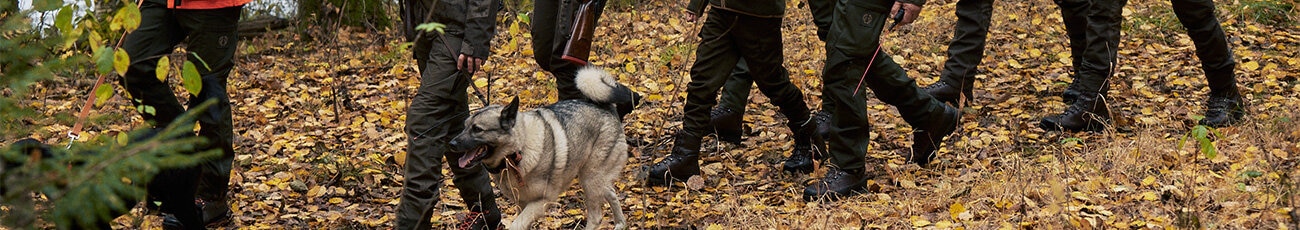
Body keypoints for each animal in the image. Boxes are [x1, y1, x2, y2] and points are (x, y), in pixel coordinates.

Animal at [449, 66, 637, 230]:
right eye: (465, 127)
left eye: (477, 129)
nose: (451, 144)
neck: (517, 152)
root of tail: (606, 107)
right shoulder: (522, 204)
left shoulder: (541, 202)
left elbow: (516, 225)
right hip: (596, 178)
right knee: (611, 193)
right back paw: (621, 224)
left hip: (590, 178)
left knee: (596, 216)